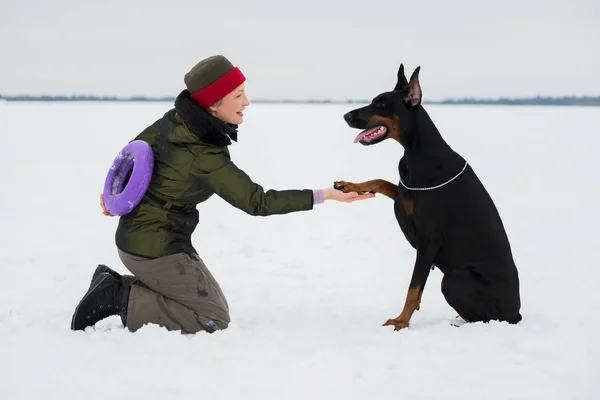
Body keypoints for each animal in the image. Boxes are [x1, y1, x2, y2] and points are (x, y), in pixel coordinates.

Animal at [336, 63, 524, 332]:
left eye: (381, 104)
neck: (416, 152)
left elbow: (413, 288)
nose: (346, 116)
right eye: (374, 100)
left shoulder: (429, 241)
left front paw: (401, 322)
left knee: (484, 318)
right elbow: (381, 182)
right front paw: (350, 186)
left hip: (455, 278)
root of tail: (516, 313)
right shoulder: (405, 194)